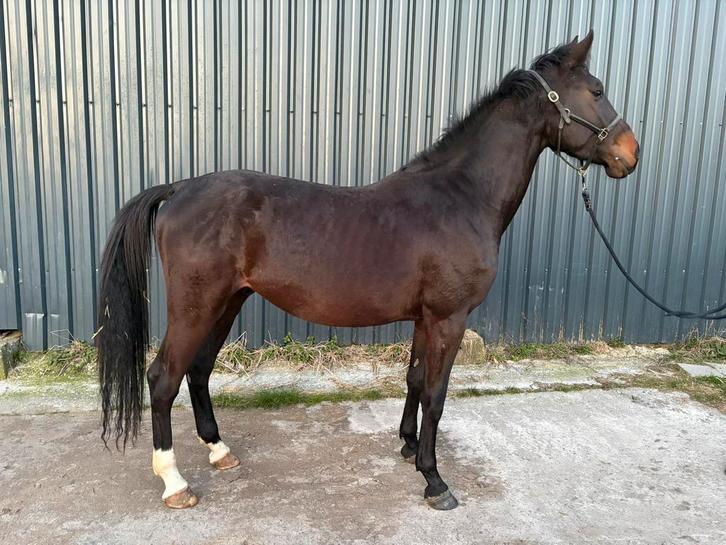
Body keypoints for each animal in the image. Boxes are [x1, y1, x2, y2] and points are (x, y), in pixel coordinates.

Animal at [97, 31, 639, 510]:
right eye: (597, 90)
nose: (629, 153)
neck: (460, 198)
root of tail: (178, 189)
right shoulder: (449, 318)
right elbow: (437, 395)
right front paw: (435, 481)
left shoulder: (425, 319)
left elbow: (415, 381)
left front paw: (407, 447)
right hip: (196, 307)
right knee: (163, 378)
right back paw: (174, 483)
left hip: (227, 302)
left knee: (199, 371)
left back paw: (220, 451)